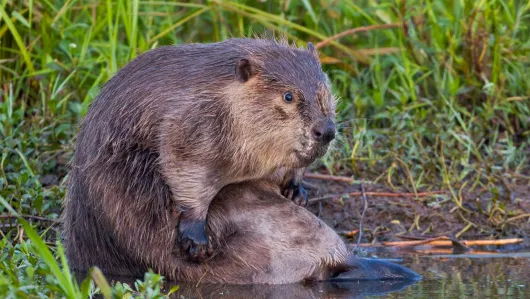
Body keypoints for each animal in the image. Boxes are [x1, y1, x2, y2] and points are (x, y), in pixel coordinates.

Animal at [62, 37, 334, 262]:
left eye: (325, 92)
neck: (225, 95)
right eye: (288, 96)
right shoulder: (192, 123)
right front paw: (197, 241)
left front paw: (296, 192)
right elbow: (184, 169)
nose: (326, 130)